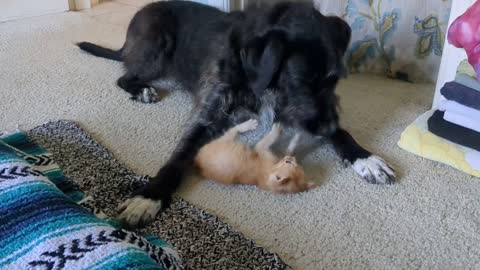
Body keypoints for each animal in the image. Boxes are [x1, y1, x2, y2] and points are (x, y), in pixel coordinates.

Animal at [78, 0, 394, 228]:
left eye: (335, 79)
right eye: (301, 81)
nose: (327, 127)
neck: (257, 80)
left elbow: (344, 133)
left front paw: (365, 158)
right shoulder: (206, 117)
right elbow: (178, 158)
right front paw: (149, 196)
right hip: (157, 42)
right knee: (124, 77)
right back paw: (142, 90)